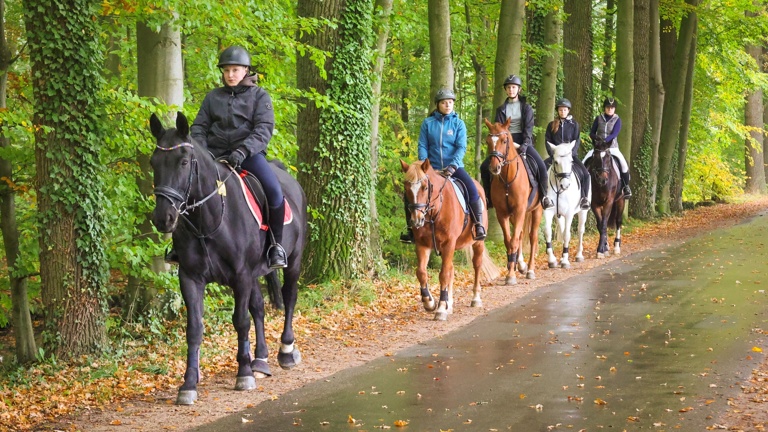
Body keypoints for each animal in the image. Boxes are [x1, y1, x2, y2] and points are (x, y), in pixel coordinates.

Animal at [148, 112, 308, 404]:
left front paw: (243, 374)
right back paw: (260, 360)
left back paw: (286, 351)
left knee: (289, 297)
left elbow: (240, 321)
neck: (210, 219)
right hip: (256, 273)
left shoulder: (241, 276)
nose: (163, 218)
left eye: (184, 162)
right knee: (259, 307)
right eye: (154, 162)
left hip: (293, 260)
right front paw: (189, 384)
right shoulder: (190, 277)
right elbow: (195, 328)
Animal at [400, 159, 488, 320]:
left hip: (478, 242)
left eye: (425, 187)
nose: (416, 220)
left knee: (477, 265)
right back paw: (450, 304)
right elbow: (421, 272)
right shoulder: (422, 245)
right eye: (406, 187)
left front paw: (440, 308)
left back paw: (475, 298)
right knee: (451, 269)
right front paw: (429, 302)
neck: (434, 211)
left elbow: (444, 274)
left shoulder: (448, 244)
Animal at [484, 116, 544, 284]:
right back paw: (521, 265)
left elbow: (514, 240)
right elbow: (508, 240)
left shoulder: (519, 211)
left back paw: (530, 269)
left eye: (504, 140)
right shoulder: (503, 214)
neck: (507, 179)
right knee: (521, 234)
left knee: (532, 237)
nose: (494, 168)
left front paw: (511, 275)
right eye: (488, 141)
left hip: (536, 210)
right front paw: (511, 268)